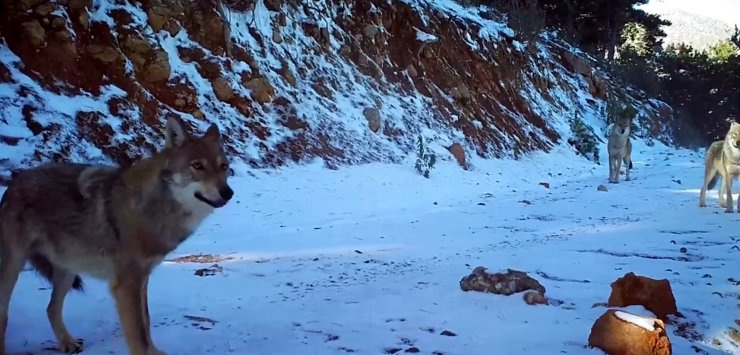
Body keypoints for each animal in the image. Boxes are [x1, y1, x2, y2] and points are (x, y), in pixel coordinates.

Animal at [0, 117, 234, 355]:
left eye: (223, 167)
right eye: (197, 166)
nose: (228, 193)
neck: (153, 208)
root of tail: (14, 182)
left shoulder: (142, 279)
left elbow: (146, 323)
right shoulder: (126, 284)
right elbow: (138, 336)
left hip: (68, 271)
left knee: (51, 308)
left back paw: (68, 342)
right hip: (12, 269)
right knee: (6, 314)